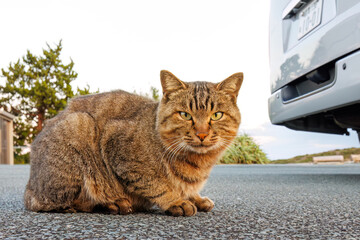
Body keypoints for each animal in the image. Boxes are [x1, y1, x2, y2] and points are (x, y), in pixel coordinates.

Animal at [23, 70, 243, 217]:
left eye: (216, 115)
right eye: (185, 115)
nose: (202, 134)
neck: (199, 163)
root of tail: (29, 188)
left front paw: (195, 197)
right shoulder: (119, 149)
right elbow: (156, 184)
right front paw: (176, 200)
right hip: (79, 126)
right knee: (66, 204)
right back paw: (114, 203)